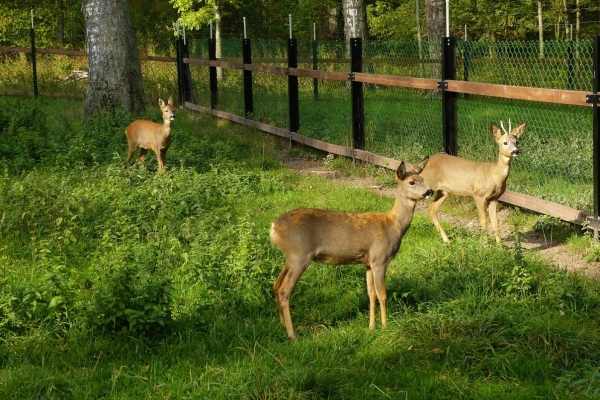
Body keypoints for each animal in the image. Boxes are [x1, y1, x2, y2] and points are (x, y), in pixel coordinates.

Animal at [270, 158, 434, 340]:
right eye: (412, 182)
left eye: (423, 179)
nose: (430, 191)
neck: (393, 224)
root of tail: (274, 227)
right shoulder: (380, 259)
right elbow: (383, 295)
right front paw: (385, 327)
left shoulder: (368, 262)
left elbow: (371, 293)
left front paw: (371, 326)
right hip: (299, 254)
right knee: (284, 290)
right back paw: (292, 335)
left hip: (291, 257)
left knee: (276, 285)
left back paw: (282, 327)